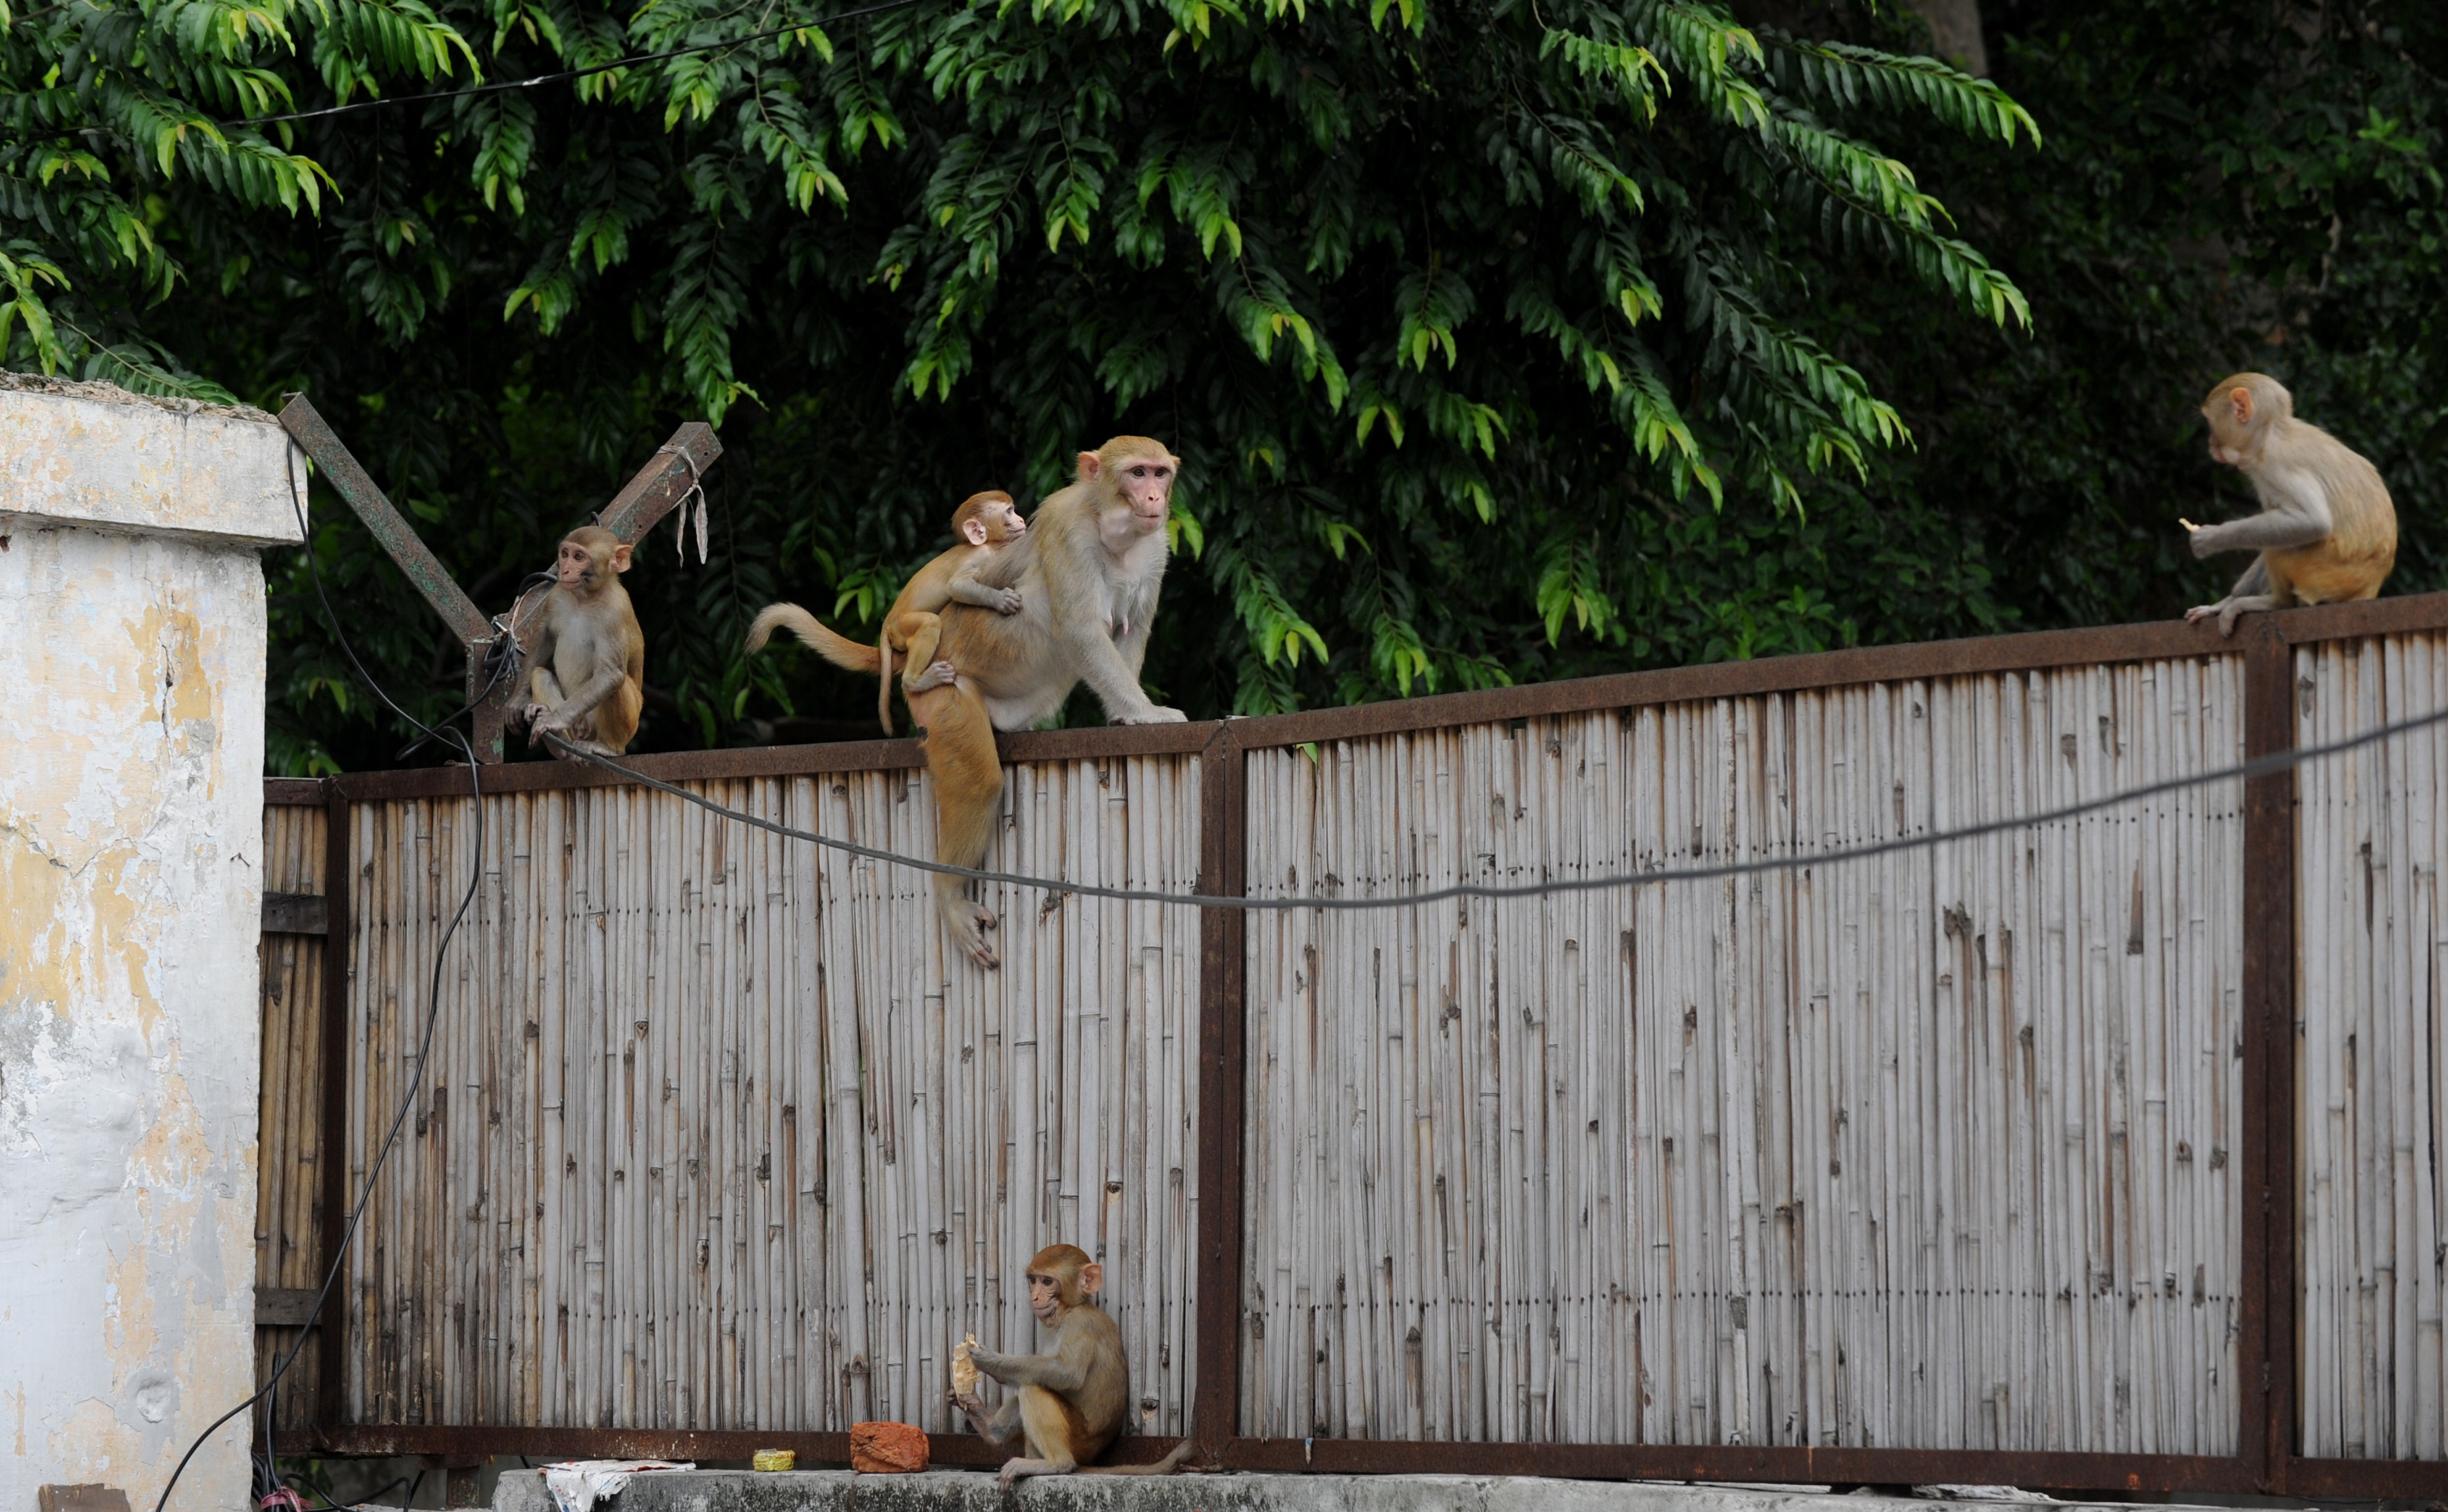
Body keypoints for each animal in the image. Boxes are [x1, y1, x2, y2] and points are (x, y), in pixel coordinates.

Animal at [508, 525, 645, 756]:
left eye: (579, 557)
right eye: (565, 554)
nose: (564, 570)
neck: (585, 598)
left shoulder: (616, 611)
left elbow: (610, 674)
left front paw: (554, 720)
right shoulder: (556, 594)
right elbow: (543, 639)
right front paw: (517, 701)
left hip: (628, 724)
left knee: (617, 683)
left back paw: (607, 748)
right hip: (576, 723)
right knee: (540, 675)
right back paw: (561, 743)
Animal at [744, 437, 1185, 968]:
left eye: (1160, 473)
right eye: (1137, 473)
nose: (1154, 498)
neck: (1110, 528)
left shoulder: (1155, 549)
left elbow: (1132, 629)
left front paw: (1126, 713)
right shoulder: (1068, 530)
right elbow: (1081, 630)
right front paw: (1146, 712)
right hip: (945, 696)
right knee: (977, 778)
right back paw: (949, 893)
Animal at [948, 1243, 1197, 1490]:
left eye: (1047, 1282)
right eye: (1033, 1280)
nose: (1035, 1297)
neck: (1071, 1307)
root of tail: (1086, 1460)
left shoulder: (1080, 1324)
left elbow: (1065, 1373)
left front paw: (991, 1362)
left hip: (1078, 1441)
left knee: (1033, 1387)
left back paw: (1056, 1464)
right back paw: (991, 1428)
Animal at [2182, 372, 2397, 637]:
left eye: (2211, 423)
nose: (2210, 442)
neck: (2271, 434)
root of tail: (2371, 584)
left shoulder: (2275, 466)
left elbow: (2312, 522)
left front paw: (2212, 538)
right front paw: (2220, 604)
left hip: (2325, 574)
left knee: (2286, 545)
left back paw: (2276, 603)